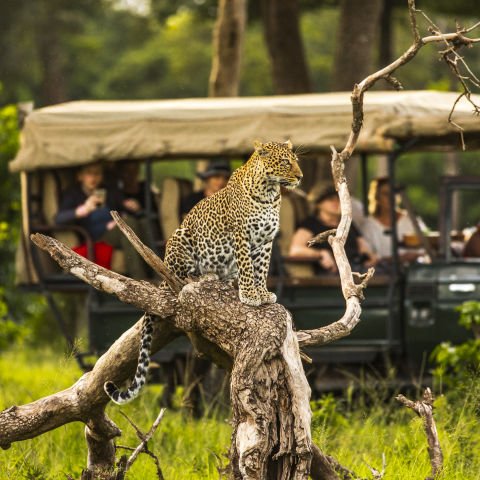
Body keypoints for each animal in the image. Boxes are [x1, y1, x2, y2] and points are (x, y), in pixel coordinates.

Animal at [104, 141, 304, 404]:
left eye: (295, 161)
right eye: (284, 162)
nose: (300, 177)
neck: (269, 193)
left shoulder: (266, 241)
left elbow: (261, 269)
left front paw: (262, 294)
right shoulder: (241, 235)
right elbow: (247, 268)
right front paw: (250, 295)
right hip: (180, 238)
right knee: (180, 276)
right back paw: (204, 277)